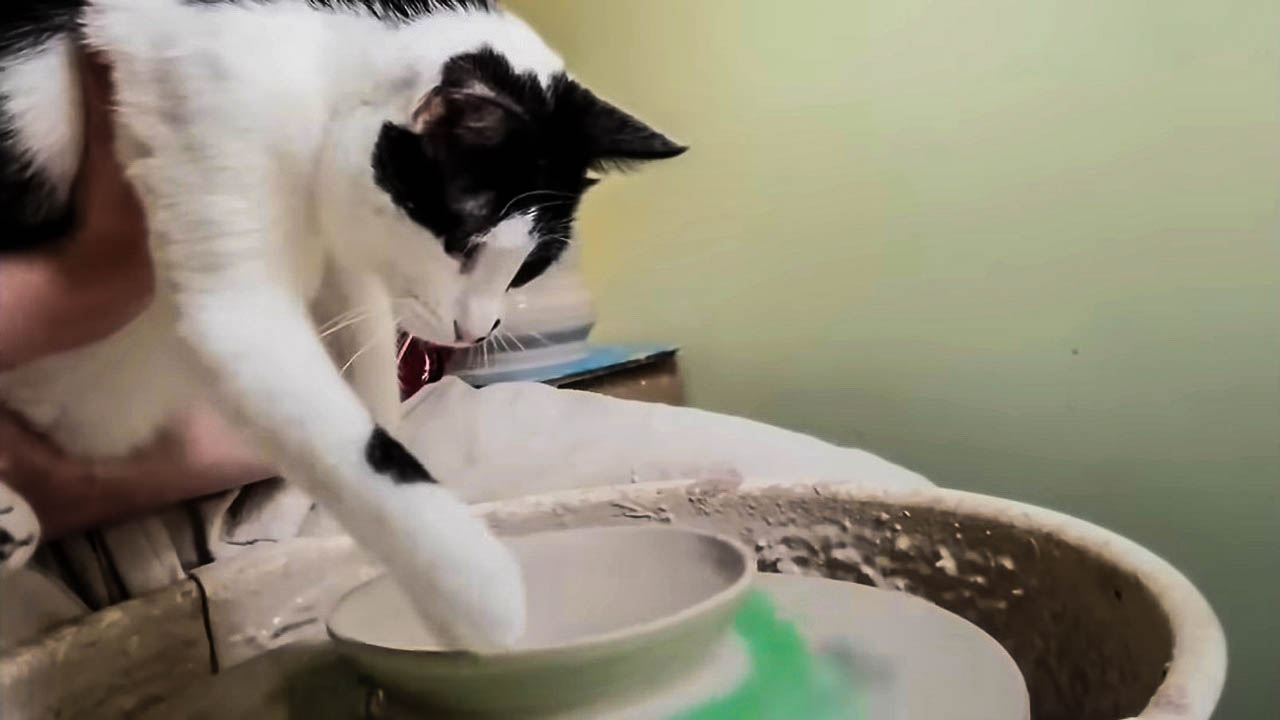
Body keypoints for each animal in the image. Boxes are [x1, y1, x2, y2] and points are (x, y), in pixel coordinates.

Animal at [0, 0, 686, 645]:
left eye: (530, 268)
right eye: (462, 243)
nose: (479, 329)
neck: (318, 58)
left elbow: (372, 361)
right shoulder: (233, 278)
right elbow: (358, 446)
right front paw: (484, 598)